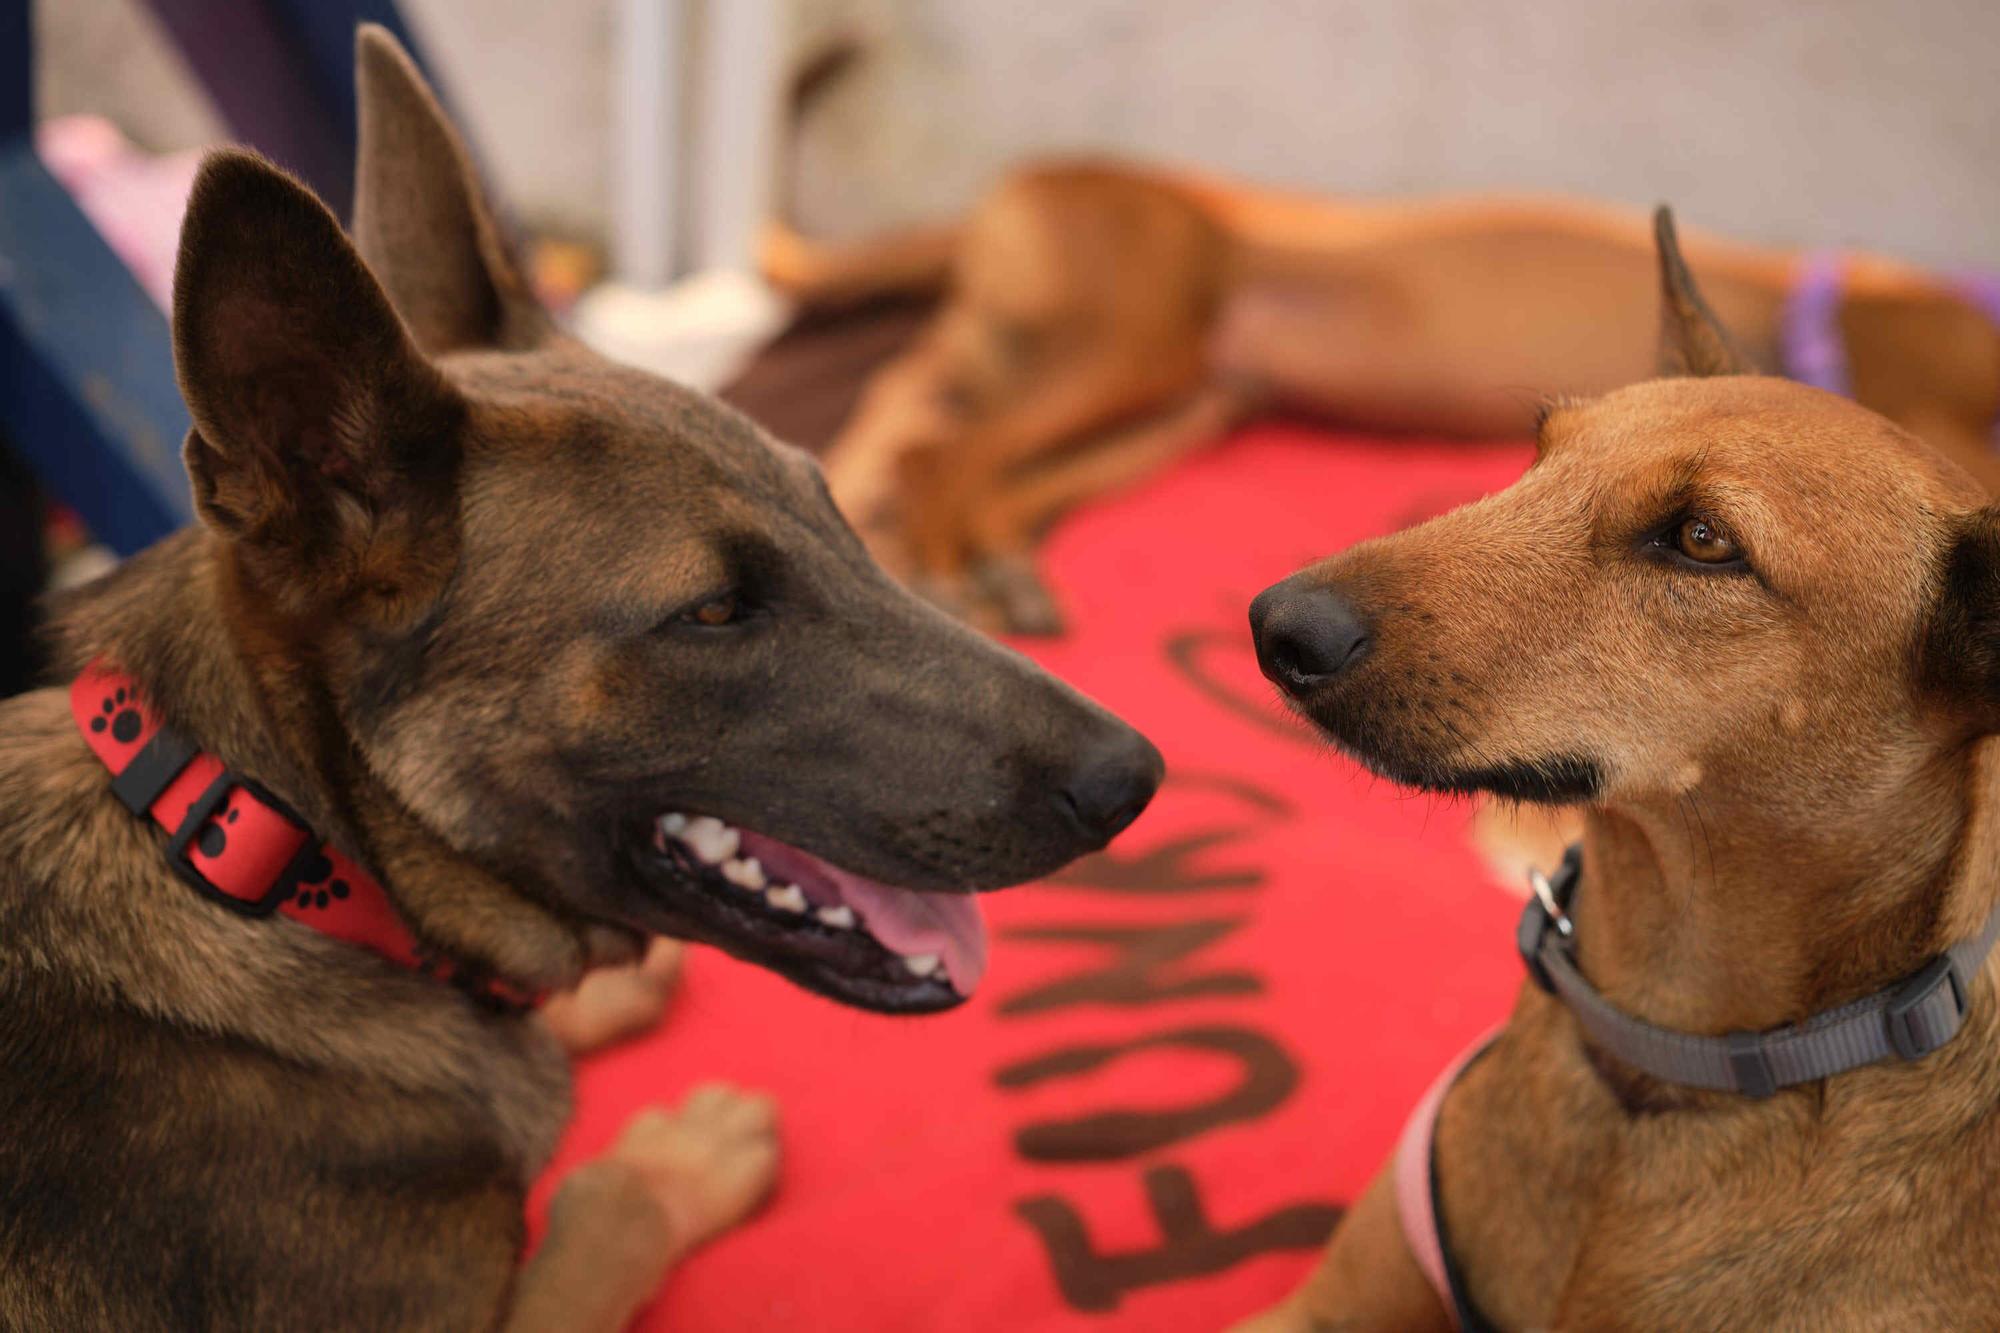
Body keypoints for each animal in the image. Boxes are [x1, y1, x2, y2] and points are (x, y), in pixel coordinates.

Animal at [0, 31, 1168, 1328]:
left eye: (835, 513)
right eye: (712, 611)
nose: (1134, 778)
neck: (268, 846)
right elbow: (603, 1203)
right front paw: (672, 1156)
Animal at [768, 165, 2000, 632]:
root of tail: (1013, 183)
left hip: (1185, 395)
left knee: (983, 469)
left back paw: (995, 570)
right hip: (1135, 343)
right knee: (942, 457)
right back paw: (942, 572)